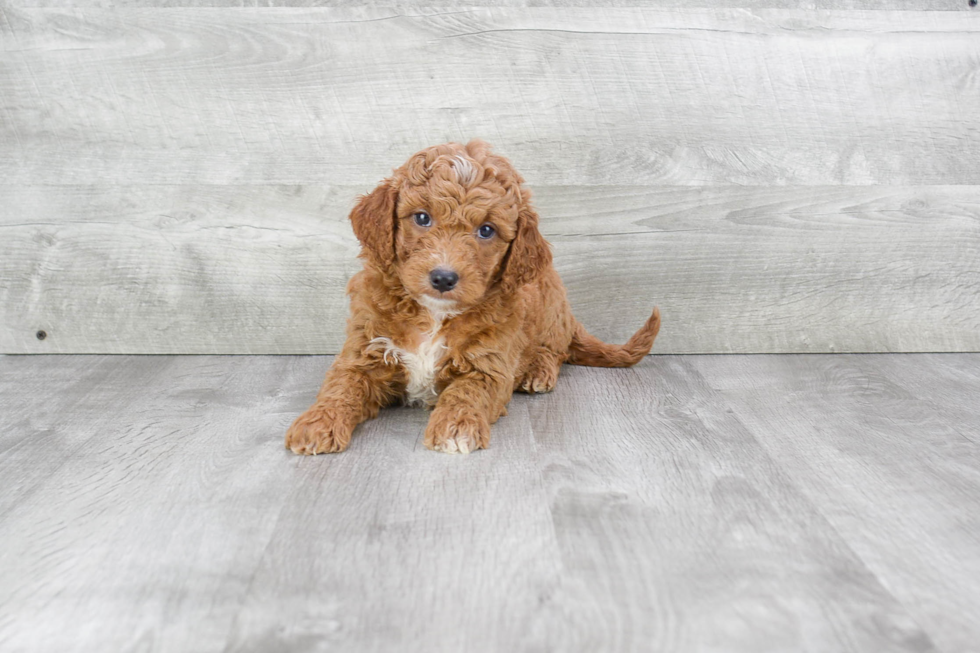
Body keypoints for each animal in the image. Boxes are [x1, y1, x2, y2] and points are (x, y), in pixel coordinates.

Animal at [288, 139, 664, 454]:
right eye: (421, 217)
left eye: (486, 230)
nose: (443, 277)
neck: (433, 315)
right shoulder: (364, 350)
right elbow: (341, 386)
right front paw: (317, 423)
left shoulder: (490, 365)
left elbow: (467, 392)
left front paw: (455, 428)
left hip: (551, 308)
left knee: (554, 350)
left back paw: (538, 372)